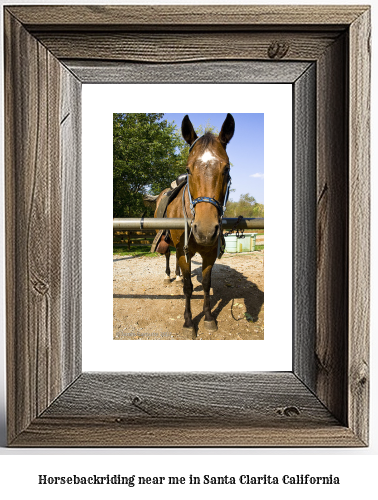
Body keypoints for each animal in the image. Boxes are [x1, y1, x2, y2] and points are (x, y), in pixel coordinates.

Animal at [154, 114, 233, 340]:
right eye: (188, 169)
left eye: (227, 168)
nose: (205, 231)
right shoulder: (183, 250)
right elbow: (189, 288)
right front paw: (189, 322)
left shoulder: (209, 253)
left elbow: (206, 284)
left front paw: (208, 318)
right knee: (169, 255)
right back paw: (169, 276)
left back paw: (178, 276)